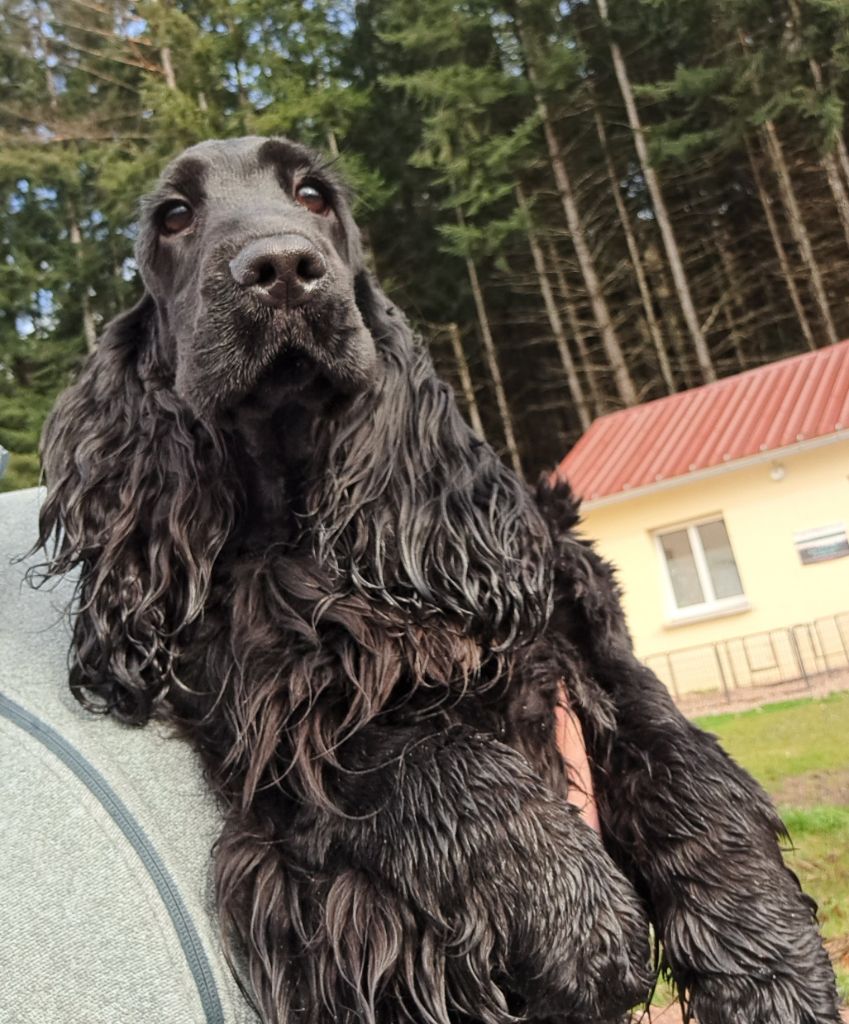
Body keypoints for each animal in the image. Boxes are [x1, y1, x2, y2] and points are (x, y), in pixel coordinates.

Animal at [37, 137, 840, 1024]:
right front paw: (579, 919)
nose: (280, 267)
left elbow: (685, 772)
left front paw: (773, 973)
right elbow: (434, 754)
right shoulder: (288, 741)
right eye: (174, 217)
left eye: (313, 195)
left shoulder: (582, 642)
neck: (305, 514)